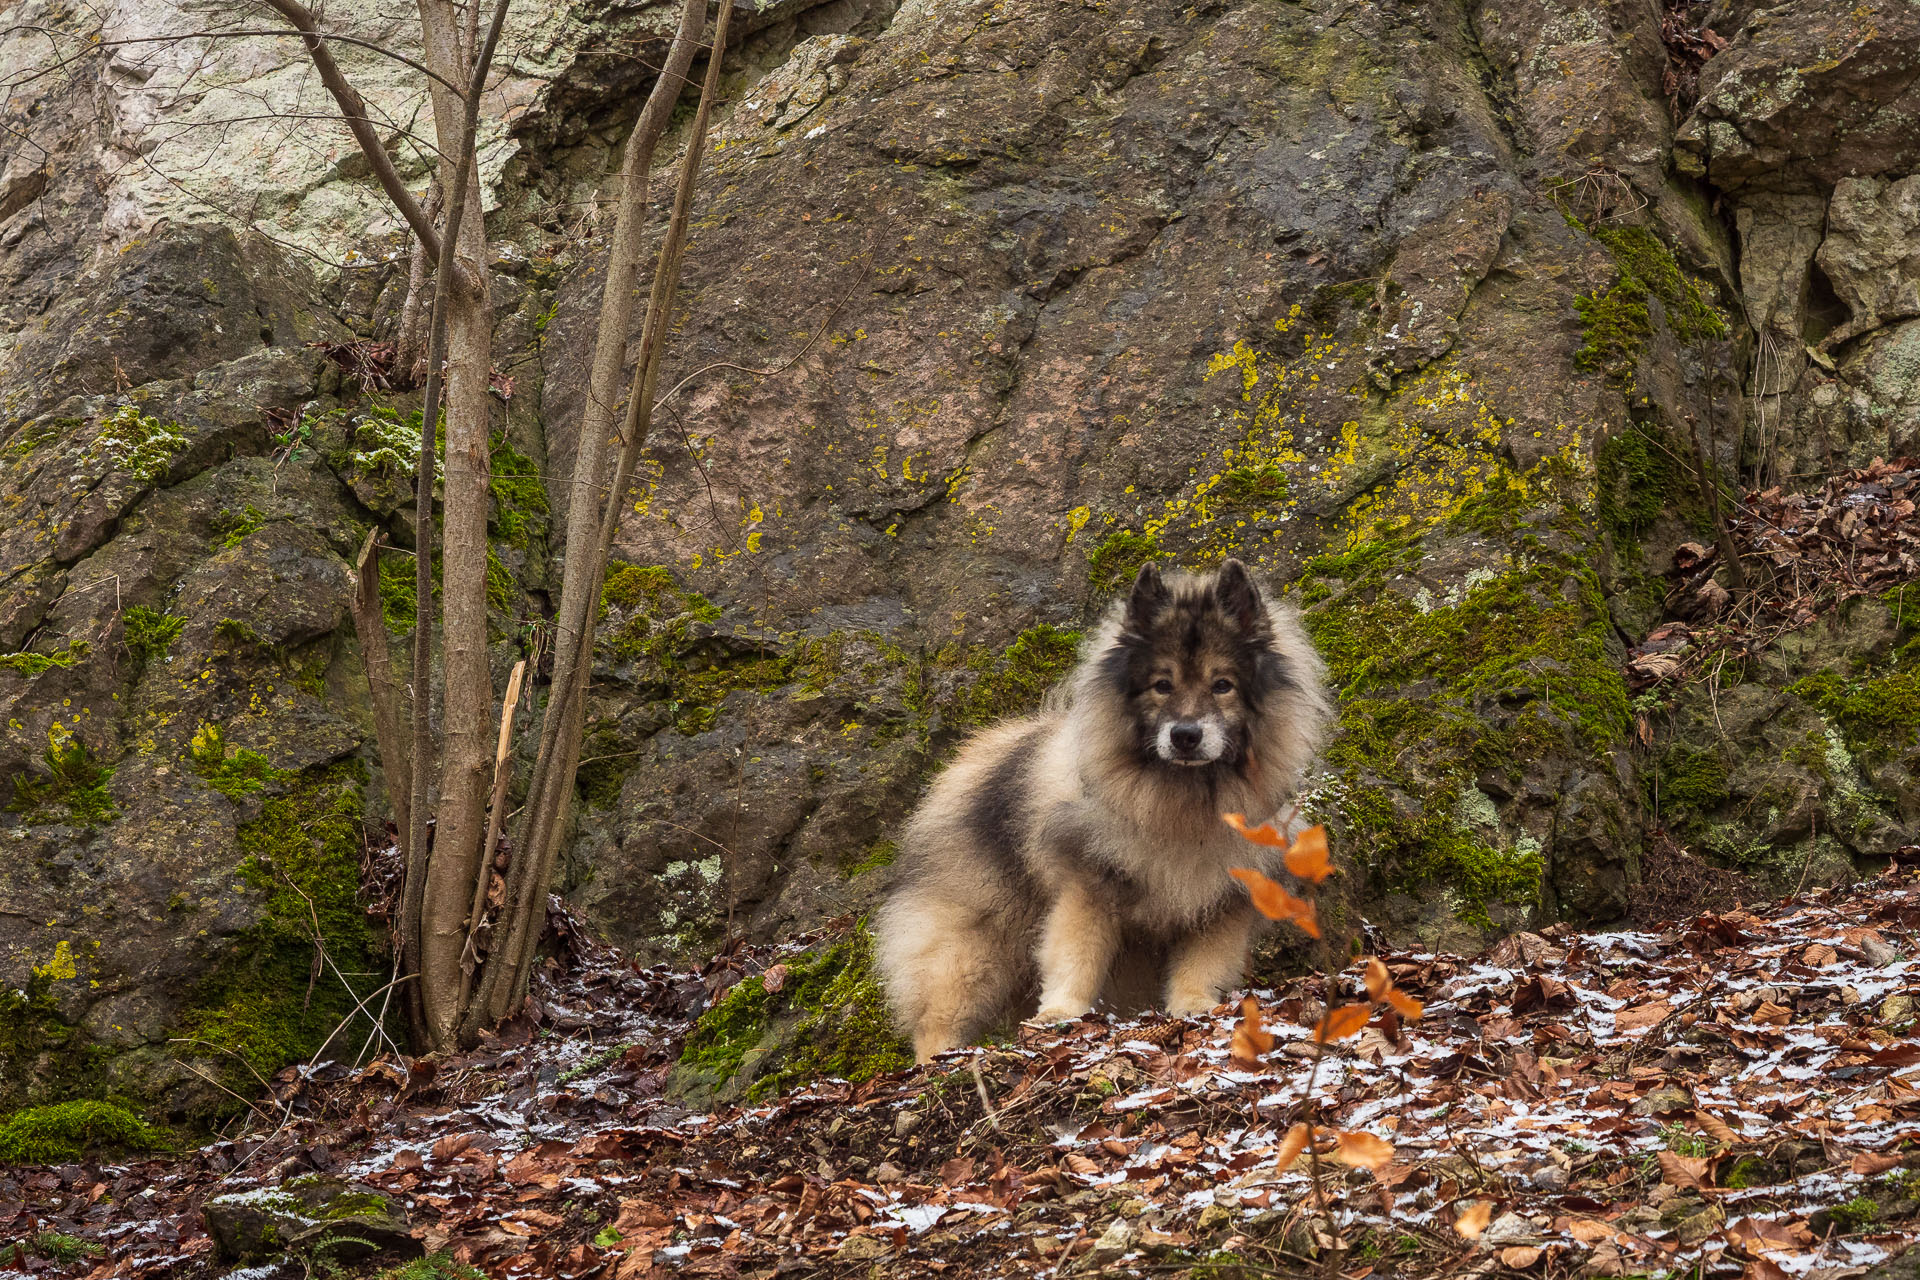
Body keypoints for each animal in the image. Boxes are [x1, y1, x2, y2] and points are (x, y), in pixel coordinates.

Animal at [879, 556, 1328, 1059]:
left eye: (1222, 685)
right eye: (1161, 685)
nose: (1185, 735)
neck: (1182, 803)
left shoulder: (1223, 902)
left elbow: (1204, 963)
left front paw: (1193, 1005)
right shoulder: (1088, 886)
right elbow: (1077, 956)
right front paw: (1059, 1014)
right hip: (971, 948)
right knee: (938, 1018)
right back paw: (939, 1061)